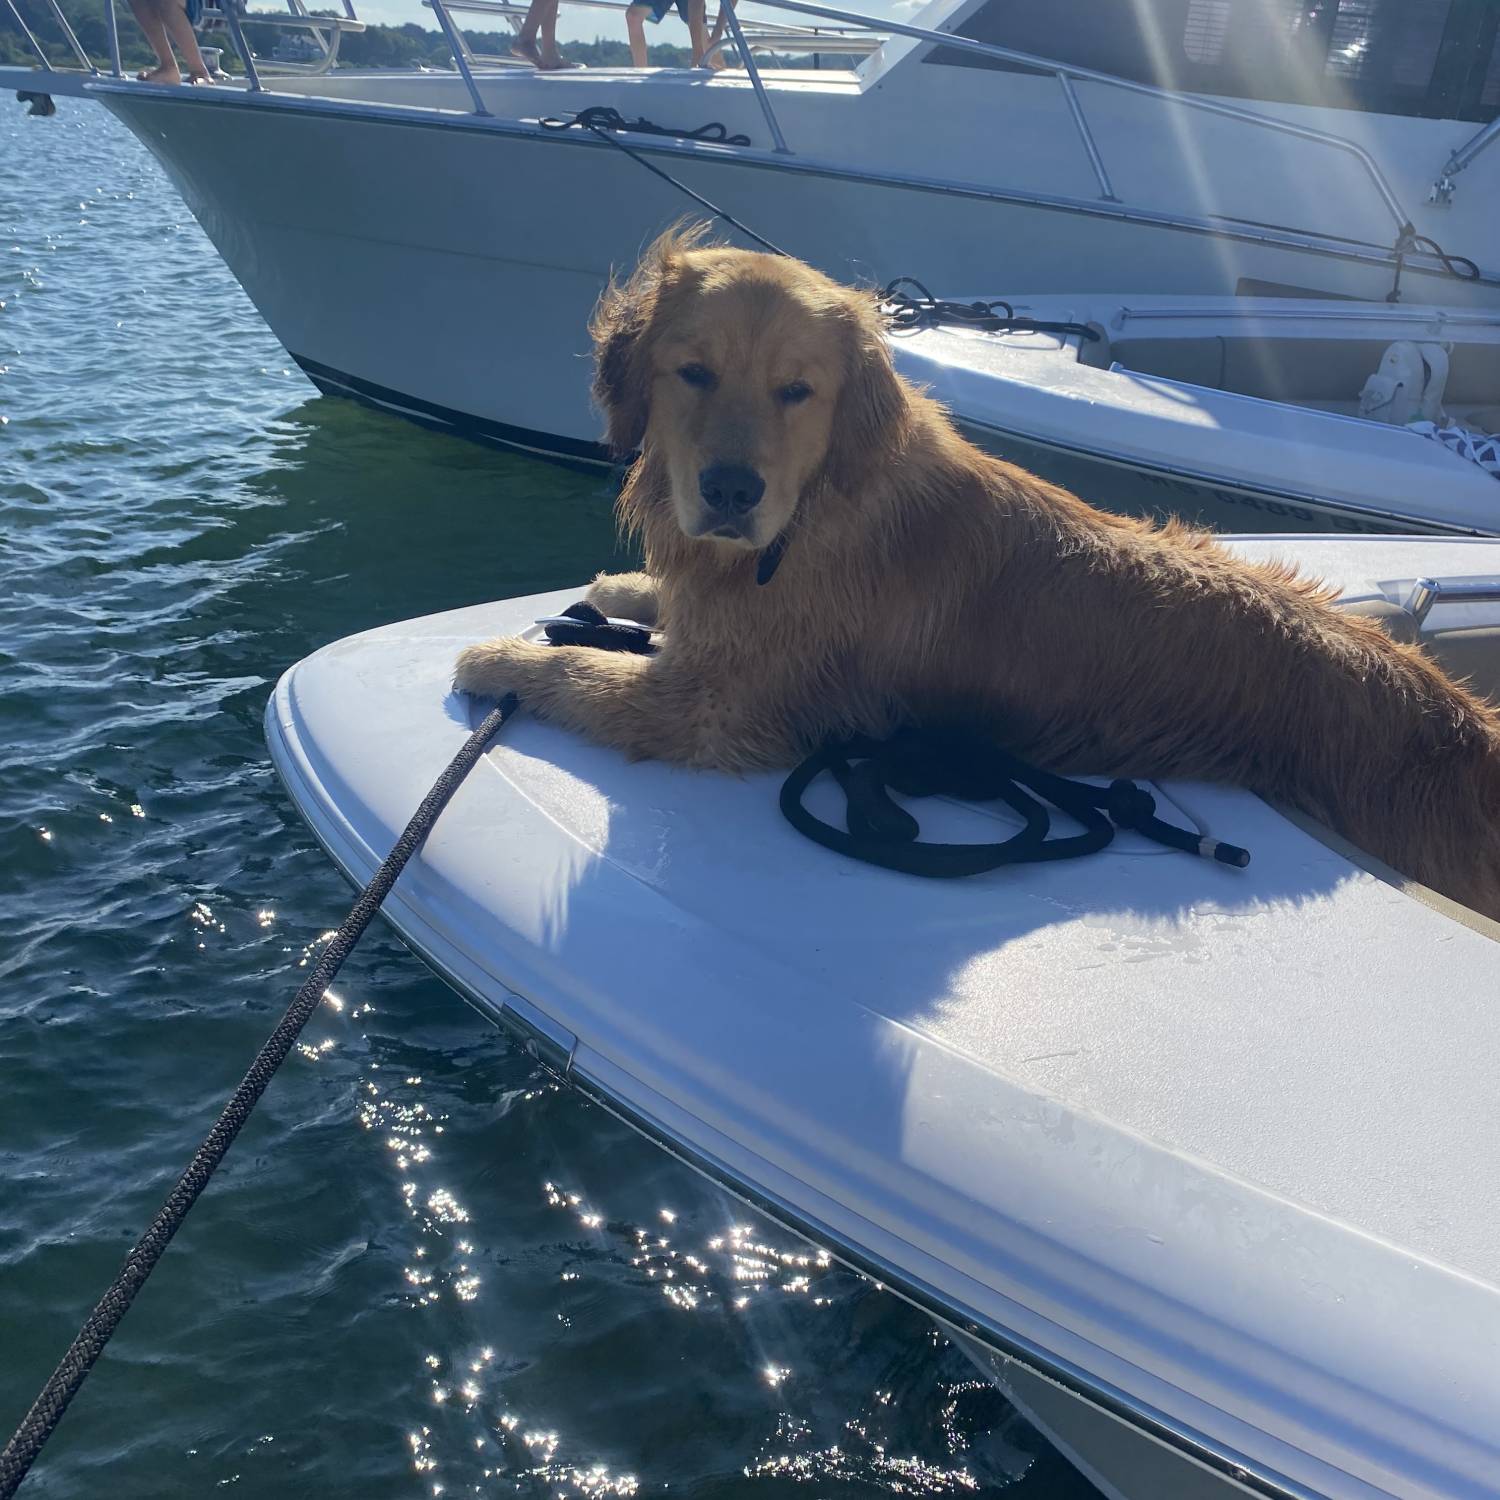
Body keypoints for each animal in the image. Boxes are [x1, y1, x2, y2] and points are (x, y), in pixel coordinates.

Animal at [456, 234, 1500, 918]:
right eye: (694, 372)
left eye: (798, 390)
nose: (730, 489)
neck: (812, 513)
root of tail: (1453, 722)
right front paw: (626, 592)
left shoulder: (717, 711)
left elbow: (579, 670)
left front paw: (496, 656)